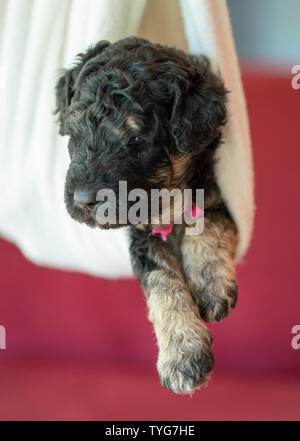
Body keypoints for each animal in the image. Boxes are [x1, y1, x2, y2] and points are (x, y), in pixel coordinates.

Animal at [54, 37, 237, 394]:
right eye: (74, 133)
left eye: (136, 139)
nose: (83, 200)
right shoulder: (141, 237)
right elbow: (161, 280)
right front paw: (183, 353)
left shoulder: (213, 189)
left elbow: (208, 223)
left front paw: (211, 285)